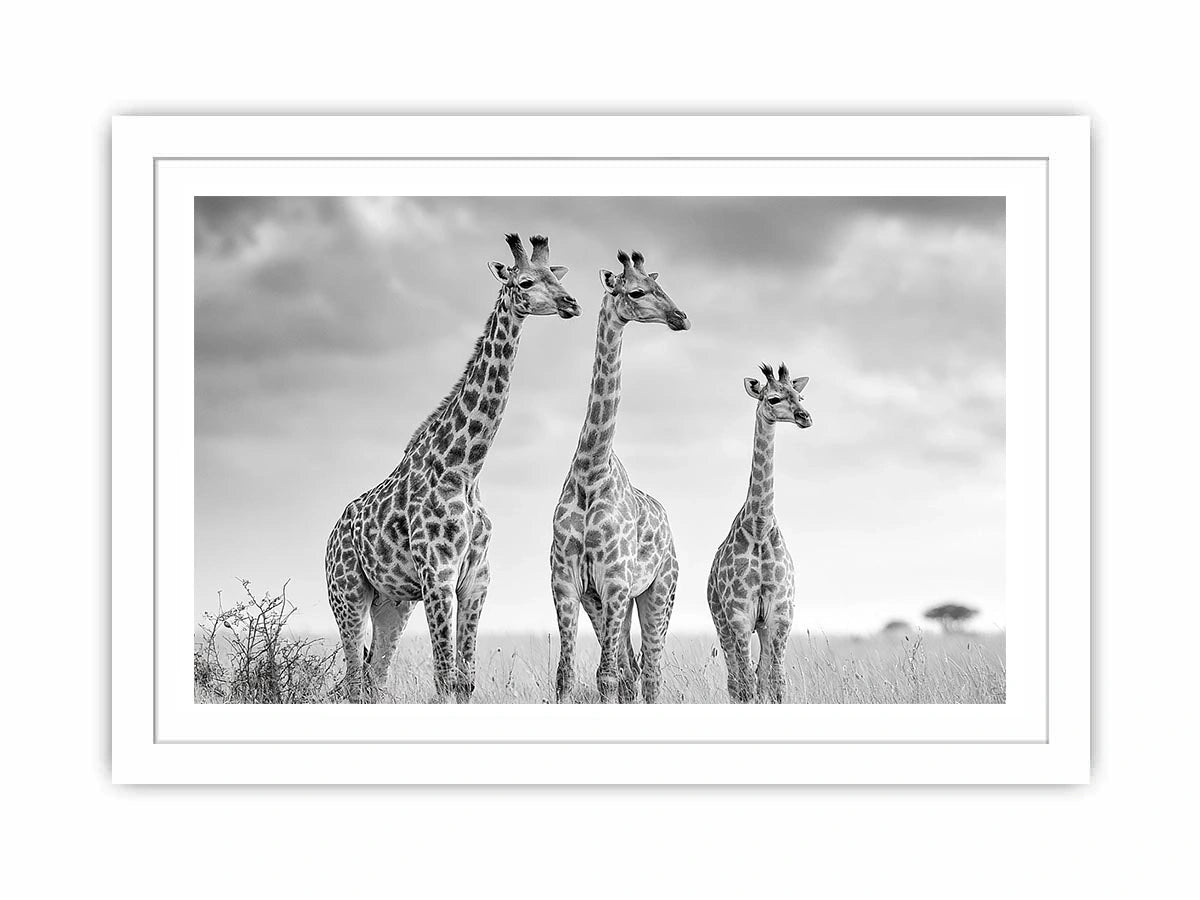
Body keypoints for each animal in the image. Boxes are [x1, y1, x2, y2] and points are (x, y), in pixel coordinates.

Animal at [325, 234, 580, 702]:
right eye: (525, 281)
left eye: (556, 276)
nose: (571, 303)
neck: (465, 468)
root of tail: (331, 537)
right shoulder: (437, 576)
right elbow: (445, 677)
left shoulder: (475, 579)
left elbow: (465, 680)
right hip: (348, 593)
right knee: (353, 678)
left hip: (392, 602)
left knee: (374, 677)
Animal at [550, 249, 690, 704]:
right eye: (637, 291)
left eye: (659, 285)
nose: (681, 317)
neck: (590, 472)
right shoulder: (569, 583)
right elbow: (567, 676)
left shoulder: (614, 582)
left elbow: (607, 677)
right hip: (611, 602)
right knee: (633, 671)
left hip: (659, 592)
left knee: (650, 673)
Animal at [707, 363, 812, 703]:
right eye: (773, 399)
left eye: (800, 396)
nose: (805, 417)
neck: (760, 527)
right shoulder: (739, 615)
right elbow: (747, 684)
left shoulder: (780, 614)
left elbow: (775, 683)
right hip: (721, 621)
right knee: (736, 681)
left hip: (762, 626)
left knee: (759, 676)